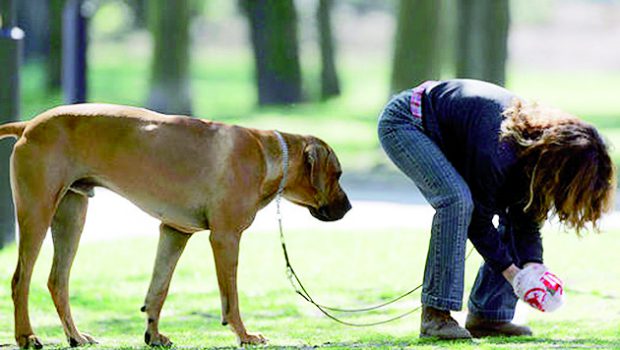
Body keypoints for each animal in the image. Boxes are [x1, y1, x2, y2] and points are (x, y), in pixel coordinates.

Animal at [0, 103, 352, 348]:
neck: (267, 155)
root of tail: (29, 125)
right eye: (337, 174)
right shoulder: (225, 238)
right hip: (37, 212)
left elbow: (159, 289)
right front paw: (244, 335)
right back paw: (26, 337)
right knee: (21, 280)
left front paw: (153, 334)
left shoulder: (174, 233)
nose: (349, 207)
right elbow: (231, 298)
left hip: (72, 215)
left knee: (57, 281)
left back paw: (74, 336)